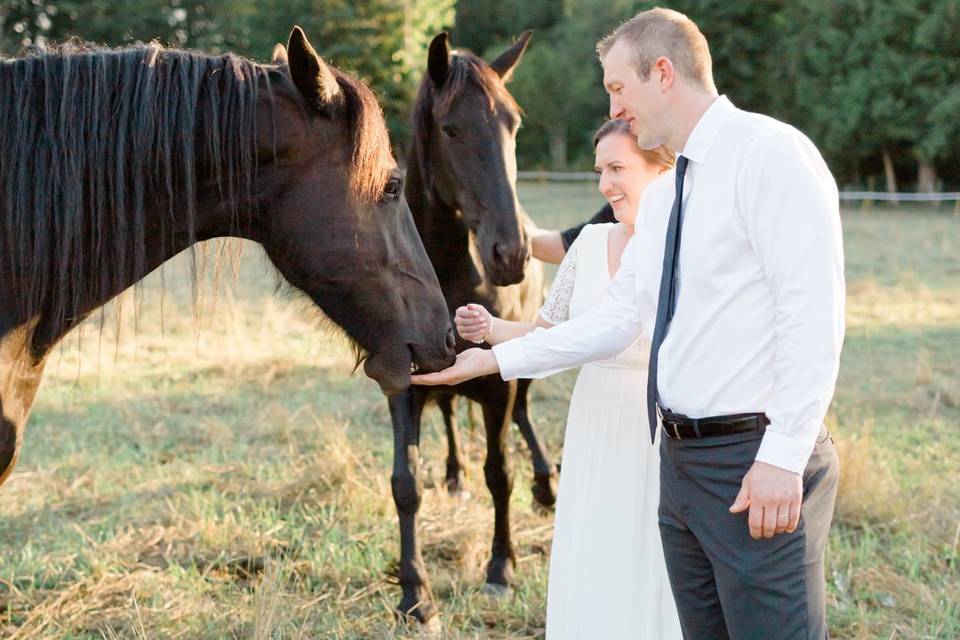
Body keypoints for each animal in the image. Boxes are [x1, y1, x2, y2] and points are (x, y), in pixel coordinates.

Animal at [386, 32, 560, 624]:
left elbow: (500, 473)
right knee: (447, 414)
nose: (510, 255)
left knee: (525, 415)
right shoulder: (403, 385)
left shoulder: (496, 384)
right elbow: (406, 483)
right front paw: (415, 593)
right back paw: (455, 476)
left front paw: (500, 569)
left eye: (513, 124)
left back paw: (546, 485)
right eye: (450, 128)